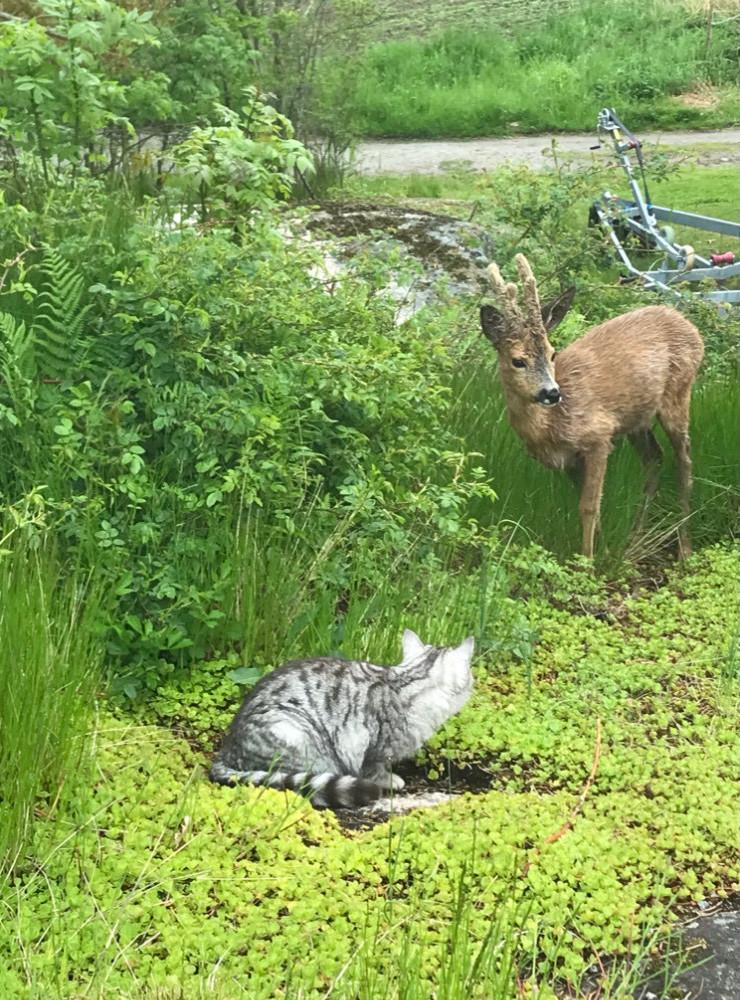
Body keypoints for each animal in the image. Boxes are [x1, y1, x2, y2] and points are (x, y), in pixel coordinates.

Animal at [208, 632, 474, 812]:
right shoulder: (372, 747)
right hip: (295, 734)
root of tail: (225, 754)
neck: (407, 683)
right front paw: (391, 779)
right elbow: (376, 769)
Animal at [480, 254, 704, 560]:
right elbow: (591, 506)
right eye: (518, 361)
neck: (550, 426)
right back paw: (635, 539)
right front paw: (605, 552)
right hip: (637, 418)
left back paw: (685, 548)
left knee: (684, 462)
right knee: (655, 458)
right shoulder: (569, 460)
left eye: (552, 353)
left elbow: (589, 507)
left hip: (678, 393)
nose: (551, 393)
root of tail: (690, 326)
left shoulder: (599, 438)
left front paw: (586, 562)